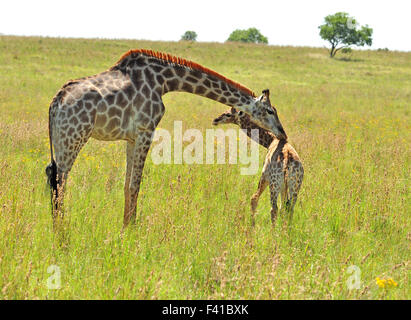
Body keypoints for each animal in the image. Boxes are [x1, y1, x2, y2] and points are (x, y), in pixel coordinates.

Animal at [45, 48, 286, 229]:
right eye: (270, 111)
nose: (282, 133)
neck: (164, 81)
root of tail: (56, 102)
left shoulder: (132, 138)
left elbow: (126, 184)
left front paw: (126, 226)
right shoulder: (146, 130)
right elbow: (135, 184)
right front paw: (131, 230)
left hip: (61, 139)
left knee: (51, 174)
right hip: (74, 136)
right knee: (60, 182)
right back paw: (62, 234)